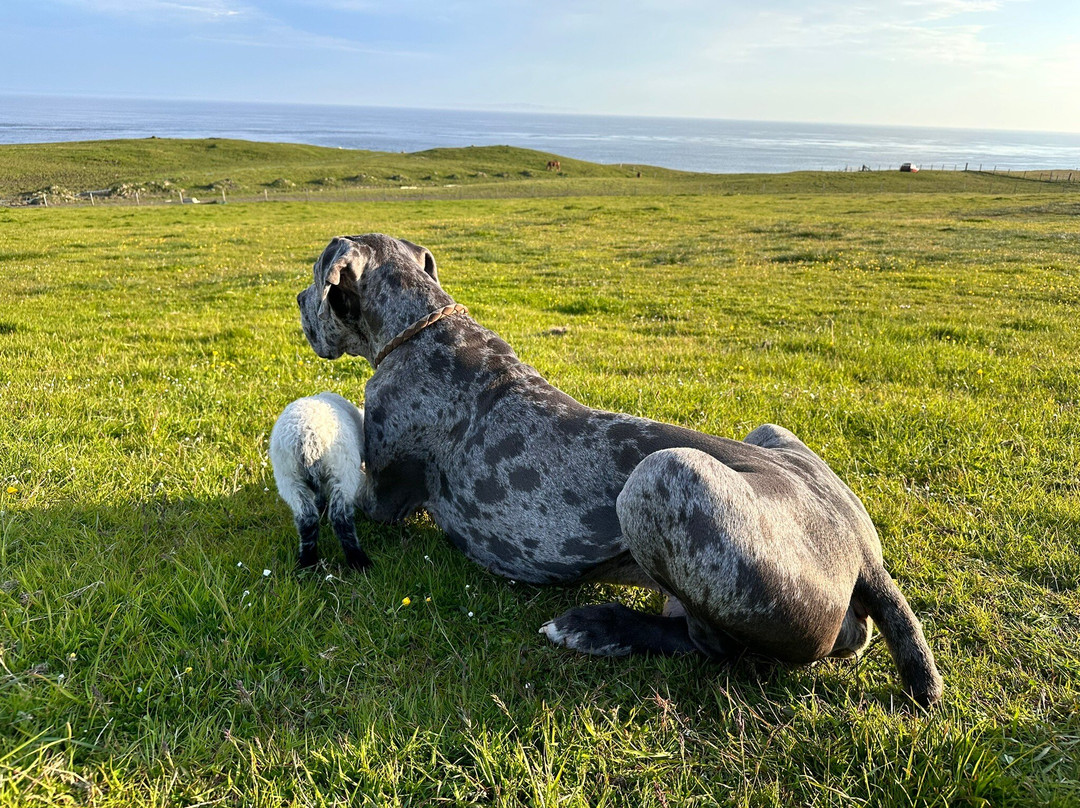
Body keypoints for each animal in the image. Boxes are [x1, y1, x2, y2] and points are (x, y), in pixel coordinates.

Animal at [270, 391, 371, 566]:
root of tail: (307, 439)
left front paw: (320, 505)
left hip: (289, 478)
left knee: (307, 519)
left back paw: (307, 561)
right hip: (343, 472)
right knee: (340, 517)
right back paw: (358, 560)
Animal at [295, 230, 946, 704]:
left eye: (315, 276)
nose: (297, 300)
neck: (421, 326)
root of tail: (864, 557)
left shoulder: (382, 499)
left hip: (664, 476)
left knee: (711, 646)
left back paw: (598, 626)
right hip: (770, 435)